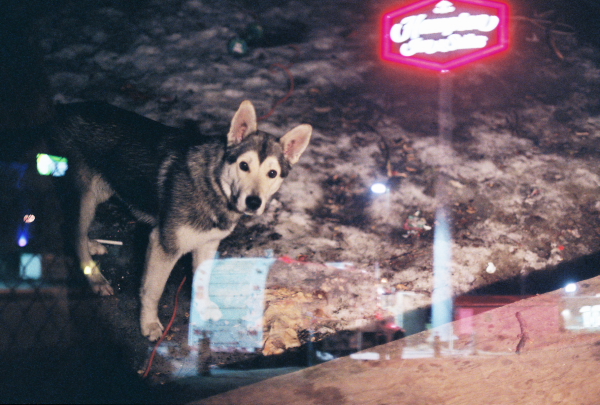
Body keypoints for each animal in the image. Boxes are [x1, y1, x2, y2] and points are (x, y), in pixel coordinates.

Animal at [51, 100, 311, 341]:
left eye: (272, 173)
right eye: (244, 165)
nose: (254, 202)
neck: (213, 185)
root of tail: (64, 109)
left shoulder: (208, 244)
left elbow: (202, 279)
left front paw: (203, 307)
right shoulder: (163, 244)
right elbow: (152, 290)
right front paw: (149, 324)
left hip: (100, 193)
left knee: (76, 230)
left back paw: (92, 244)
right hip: (84, 198)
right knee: (74, 234)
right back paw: (95, 278)